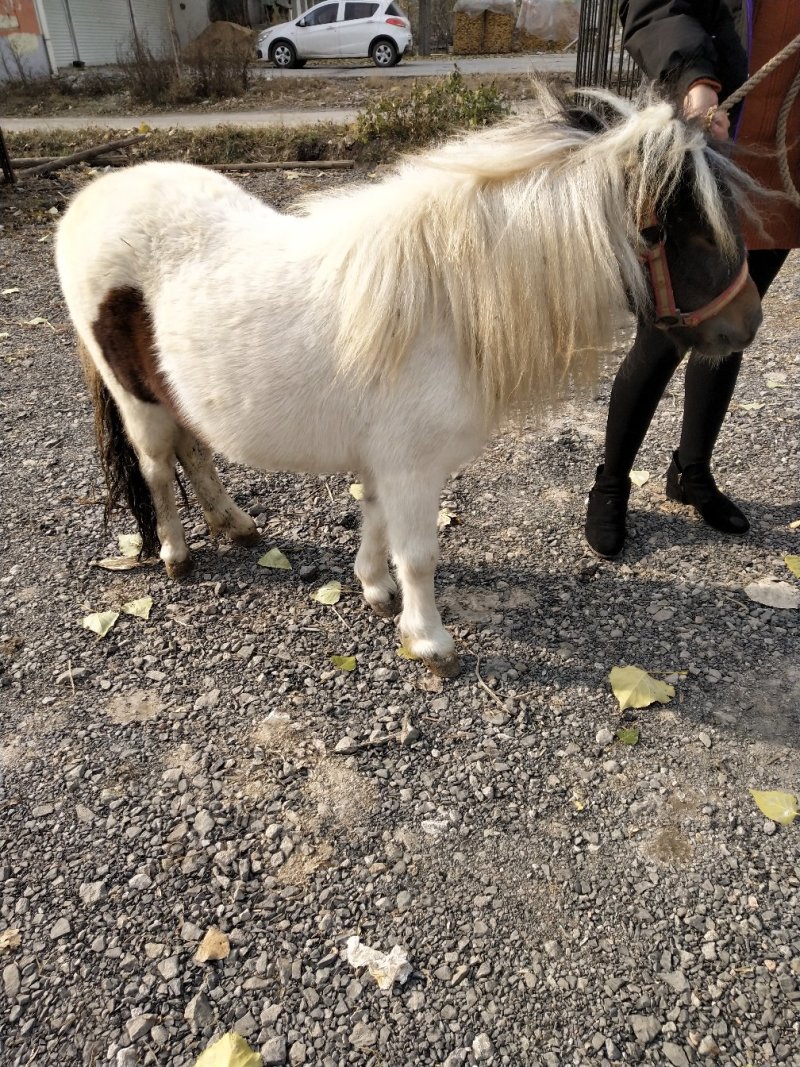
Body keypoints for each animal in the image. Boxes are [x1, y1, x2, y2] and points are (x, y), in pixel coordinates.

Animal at [56, 87, 763, 679]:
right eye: (680, 229)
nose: (746, 322)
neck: (444, 302)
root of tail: (89, 201)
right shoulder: (412, 465)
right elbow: (419, 553)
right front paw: (429, 642)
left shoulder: (386, 460)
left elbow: (376, 520)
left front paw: (374, 589)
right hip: (136, 397)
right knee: (157, 468)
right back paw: (177, 555)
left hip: (177, 392)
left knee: (194, 450)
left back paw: (234, 523)